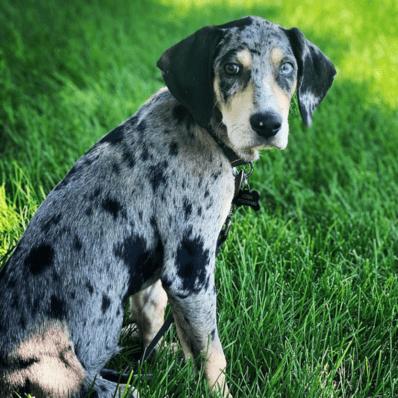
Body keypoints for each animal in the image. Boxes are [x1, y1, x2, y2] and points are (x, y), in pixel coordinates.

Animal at [0, 15, 336, 398]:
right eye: (231, 68)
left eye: (287, 68)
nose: (267, 124)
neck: (203, 129)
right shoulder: (189, 271)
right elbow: (211, 353)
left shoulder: (161, 270)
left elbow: (157, 315)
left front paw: (159, 352)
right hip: (75, 377)